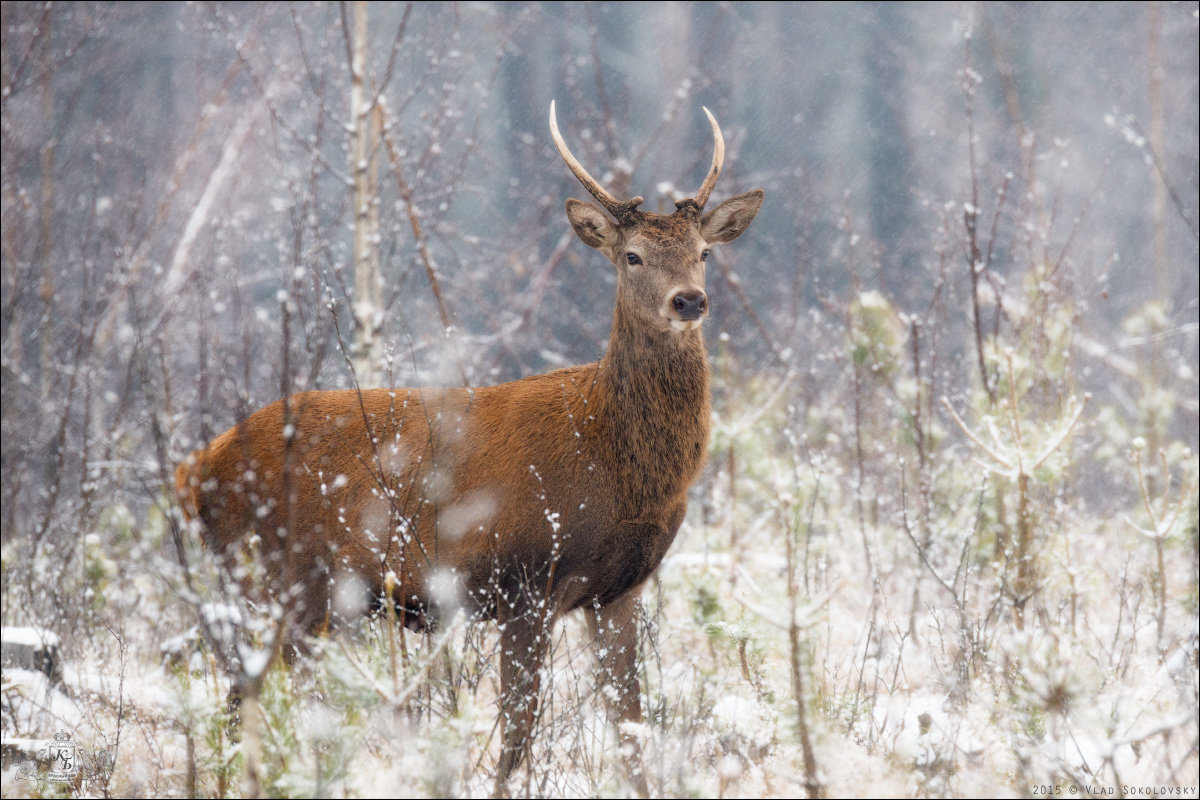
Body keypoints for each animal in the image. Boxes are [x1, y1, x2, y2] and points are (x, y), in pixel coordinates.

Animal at [175, 101, 763, 796]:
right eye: (633, 256)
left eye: (704, 252)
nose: (689, 300)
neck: (614, 462)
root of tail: (196, 469)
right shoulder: (525, 580)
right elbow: (518, 729)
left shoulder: (618, 591)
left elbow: (631, 727)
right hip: (275, 576)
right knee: (243, 695)